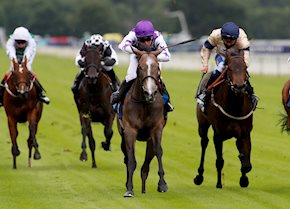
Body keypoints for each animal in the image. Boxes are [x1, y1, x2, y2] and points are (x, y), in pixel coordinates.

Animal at [116, 47, 168, 198]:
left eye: (157, 67)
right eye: (140, 67)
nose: (149, 92)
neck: (145, 103)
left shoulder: (156, 129)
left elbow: (158, 151)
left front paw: (162, 184)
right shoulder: (130, 130)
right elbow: (131, 159)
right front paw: (129, 188)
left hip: (149, 138)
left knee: (149, 157)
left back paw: (144, 185)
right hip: (122, 133)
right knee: (126, 156)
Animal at [194, 49, 255, 189]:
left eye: (245, 68)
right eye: (230, 69)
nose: (239, 86)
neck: (234, 107)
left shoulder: (244, 134)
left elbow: (246, 164)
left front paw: (244, 179)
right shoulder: (218, 135)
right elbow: (219, 161)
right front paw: (219, 184)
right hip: (202, 125)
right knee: (204, 143)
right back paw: (199, 176)